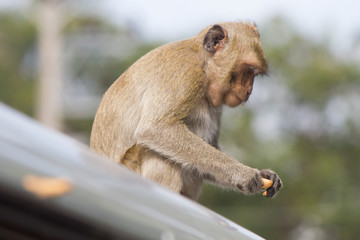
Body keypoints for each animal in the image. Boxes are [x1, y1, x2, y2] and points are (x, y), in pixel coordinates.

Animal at [89, 21, 282, 200]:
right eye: (248, 70)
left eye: (254, 74)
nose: (249, 90)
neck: (203, 66)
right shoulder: (184, 74)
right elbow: (155, 129)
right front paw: (242, 173)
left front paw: (264, 174)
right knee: (157, 153)